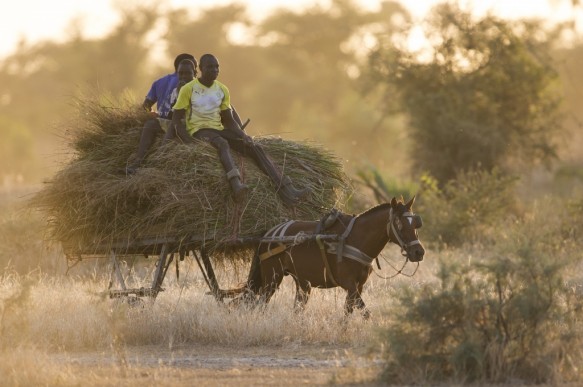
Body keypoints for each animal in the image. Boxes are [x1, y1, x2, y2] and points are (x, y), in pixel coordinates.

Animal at [235, 197, 426, 318]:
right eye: (399, 224)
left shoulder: (358, 286)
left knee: (297, 307)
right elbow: (365, 312)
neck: (356, 239)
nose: (419, 252)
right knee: (260, 303)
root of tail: (267, 234)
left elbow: (349, 311)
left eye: (416, 224)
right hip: (272, 278)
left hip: (302, 283)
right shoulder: (349, 284)